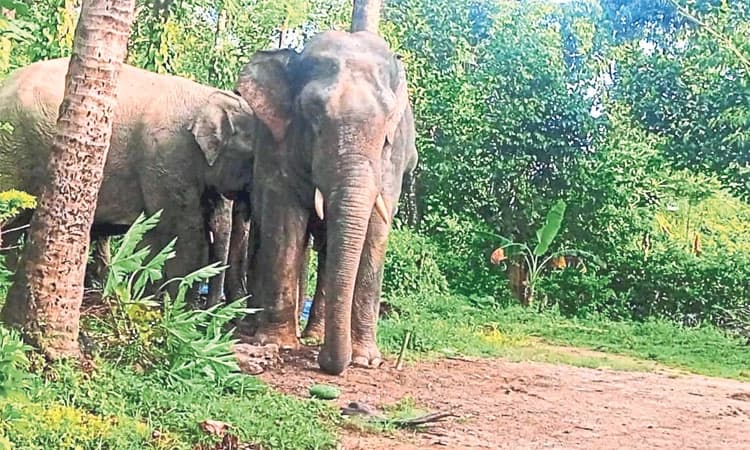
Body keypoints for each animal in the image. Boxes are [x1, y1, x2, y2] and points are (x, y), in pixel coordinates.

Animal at [0, 57, 257, 321]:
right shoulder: (167, 160)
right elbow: (184, 235)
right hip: (12, 149)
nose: (214, 315)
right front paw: (177, 314)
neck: (208, 97)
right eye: (253, 159)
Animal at [235, 30, 418, 375]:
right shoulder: (277, 145)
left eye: (387, 128)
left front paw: (366, 360)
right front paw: (277, 344)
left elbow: (376, 231)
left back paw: (314, 334)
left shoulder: (394, 162)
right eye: (314, 115)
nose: (327, 364)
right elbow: (285, 223)